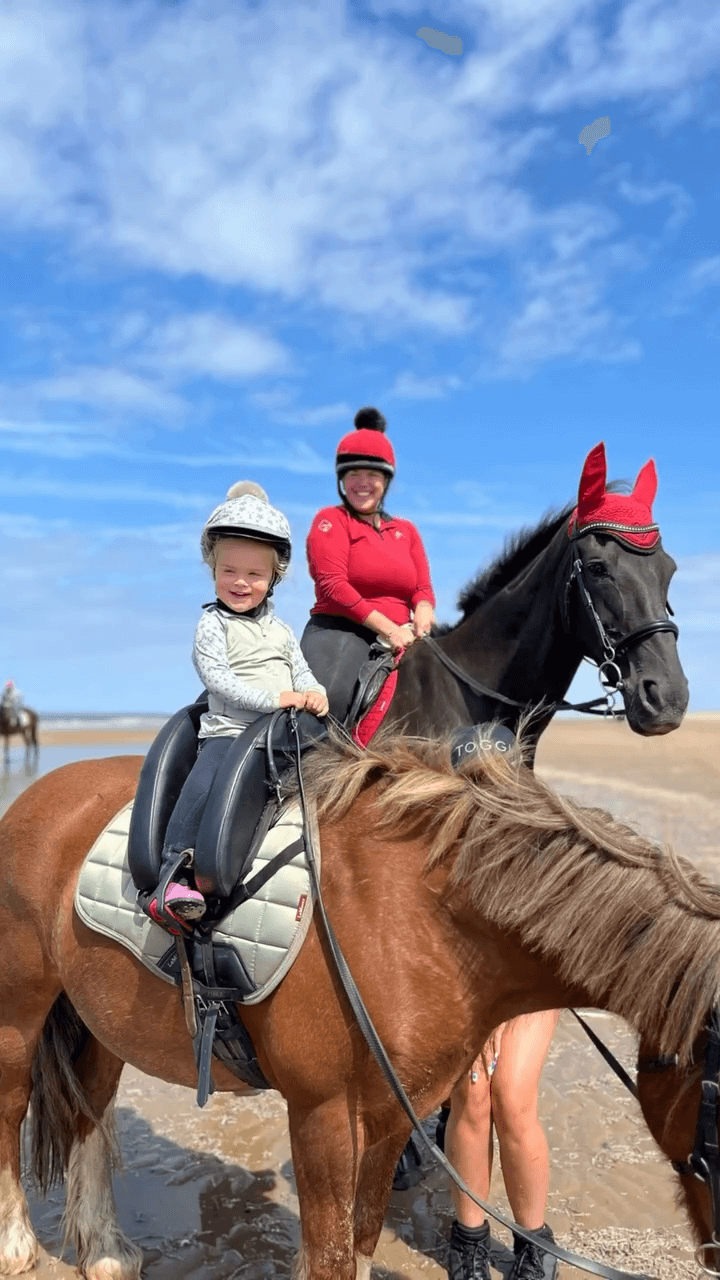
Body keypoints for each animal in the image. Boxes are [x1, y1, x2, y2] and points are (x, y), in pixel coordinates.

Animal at [1, 730, 719, 1280]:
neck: (420, 918)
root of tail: (38, 798)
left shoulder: (394, 1115)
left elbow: (364, 1237)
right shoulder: (321, 1115)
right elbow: (332, 1253)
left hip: (99, 1021)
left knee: (89, 1111)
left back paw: (105, 1251)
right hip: (21, 1010)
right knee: (12, 1109)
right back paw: (18, 1246)